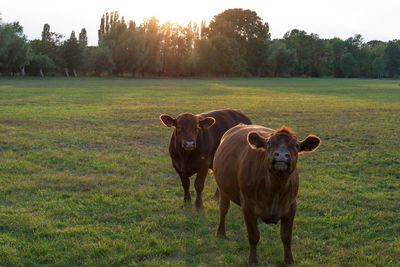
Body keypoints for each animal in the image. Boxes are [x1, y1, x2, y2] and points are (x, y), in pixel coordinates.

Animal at [212, 125, 322, 266]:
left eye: (296, 145)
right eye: (269, 143)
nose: (281, 155)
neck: (274, 190)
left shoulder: (291, 205)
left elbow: (286, 236)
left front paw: (289, 260)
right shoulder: (248, 205)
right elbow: (254, 236)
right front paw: (253, 261)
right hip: (223, 188)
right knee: (223, 209)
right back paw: (221, 232)